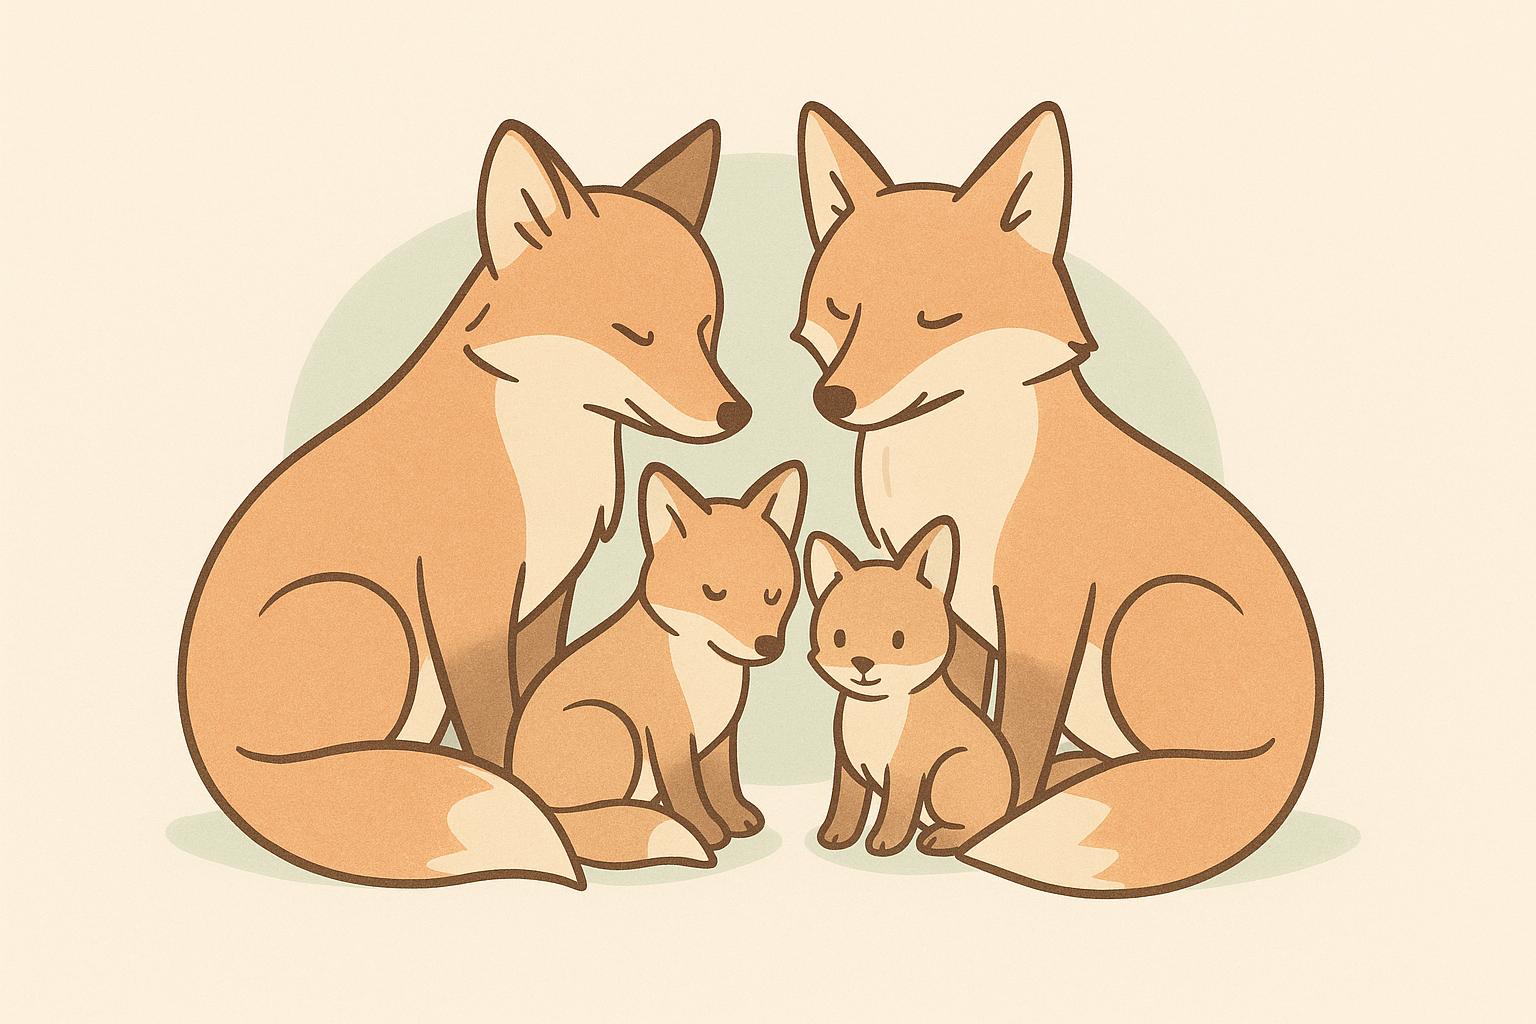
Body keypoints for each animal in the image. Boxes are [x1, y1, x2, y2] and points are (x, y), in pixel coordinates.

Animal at [179, 118, 751, 887]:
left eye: (706, 327)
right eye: (634, 332)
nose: (735, 413)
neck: (550, 451)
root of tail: (215, 760)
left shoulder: (547, 596)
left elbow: (531, 702)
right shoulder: (468, 601)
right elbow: (497, 723)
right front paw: (552, 810)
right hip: (373, 612)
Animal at [509, 461, 806, 867]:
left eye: (772, 595)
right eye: (713, 592)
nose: (768, 645)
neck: (706, 669)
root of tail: (535, 808)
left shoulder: (722, 733)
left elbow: (722, 782)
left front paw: (738, 820)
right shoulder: (670, 733)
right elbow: (687, 789)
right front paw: (707, 831)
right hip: (613, 723)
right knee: (590, 816)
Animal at [804, 518, 1016, 857]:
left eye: (899, 639)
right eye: (839, 638)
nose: (862, 662)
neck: (876, 709)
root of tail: (1011, 807)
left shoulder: (907, 772)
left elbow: (895, 811)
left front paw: (884, 843)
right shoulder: (848, 768)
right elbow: (846, 806)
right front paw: (836, 836)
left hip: (947, 770)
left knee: (976, 828)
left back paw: (941, 838)